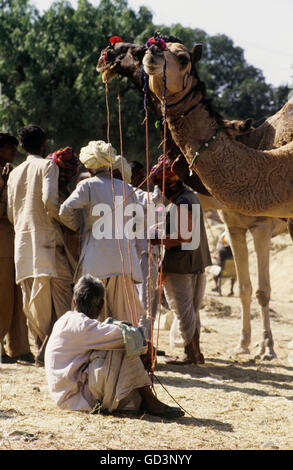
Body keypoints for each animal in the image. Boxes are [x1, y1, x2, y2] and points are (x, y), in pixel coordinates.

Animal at [96, 37, 288, 360]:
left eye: (137, 50)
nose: (110, 51)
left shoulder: (261, 226)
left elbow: (263, 291)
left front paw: (268, 349)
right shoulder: (234, 225)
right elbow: (246, 288)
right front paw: (244, 344)